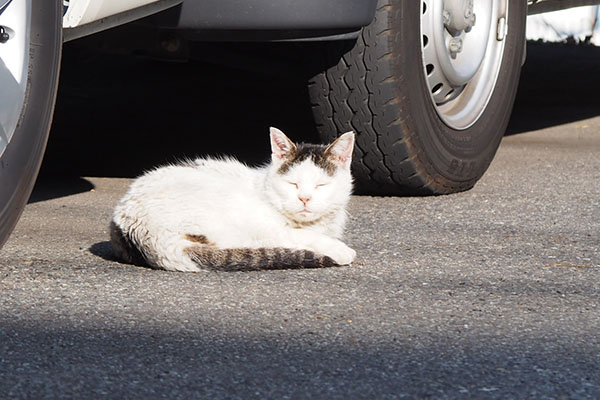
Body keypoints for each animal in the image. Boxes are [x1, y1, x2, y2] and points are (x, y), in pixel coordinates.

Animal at [109, 128, 356, 272]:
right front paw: (339, 249)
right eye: (292, 184)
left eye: (321, 185)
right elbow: (301, 236)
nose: (304, 198)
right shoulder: (269, 228)